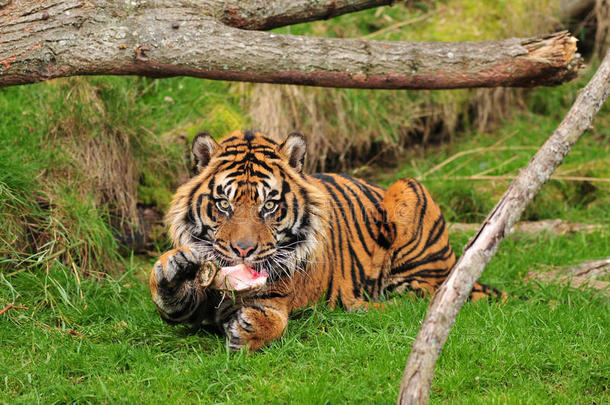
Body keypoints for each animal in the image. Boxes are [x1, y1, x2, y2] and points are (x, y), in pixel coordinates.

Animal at [150, 130, 502, 350]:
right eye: (224, 204)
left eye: (269, 206)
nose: (243, 250)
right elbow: (173, 299)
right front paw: (172, 270)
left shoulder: (279, 295)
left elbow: (274, 320)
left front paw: (248, 330)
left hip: (408, 189)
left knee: (416, 295)